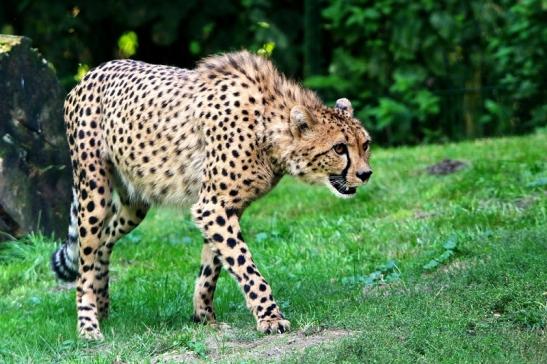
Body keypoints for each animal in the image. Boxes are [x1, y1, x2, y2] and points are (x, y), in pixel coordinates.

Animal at [50, 50, 372, 338]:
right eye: (339, 148)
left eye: (365, 144)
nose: (366, 174)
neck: (267, 127)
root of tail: (93, 72)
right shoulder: (213, 206)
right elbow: (245, 265)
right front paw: (270, 317)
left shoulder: (226, 207)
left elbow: (213, 265)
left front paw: (204, 318)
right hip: (94, 189)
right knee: (86, 258)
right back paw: (88, 325)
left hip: (135, 201)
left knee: (104, 242)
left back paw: (103, 305)